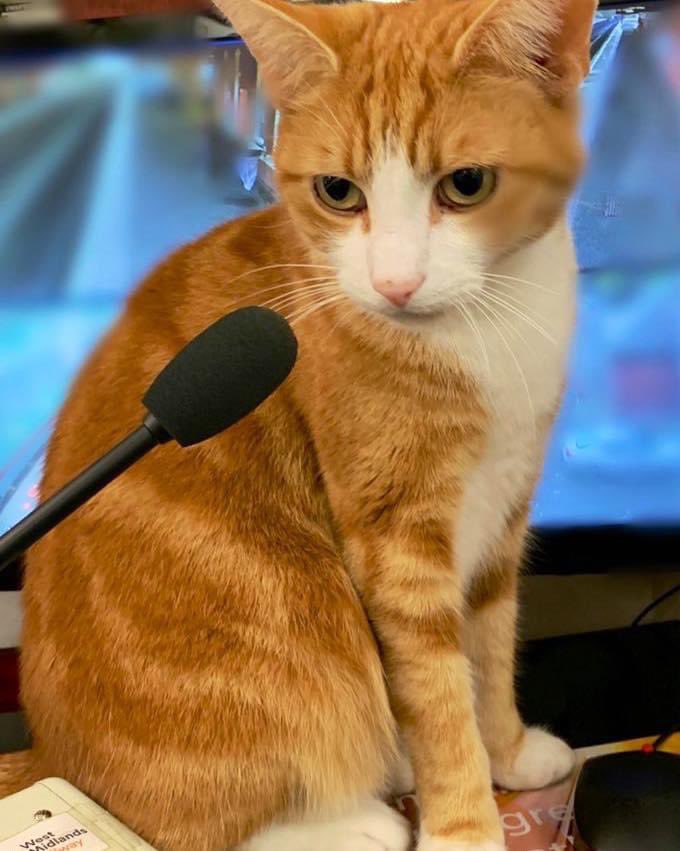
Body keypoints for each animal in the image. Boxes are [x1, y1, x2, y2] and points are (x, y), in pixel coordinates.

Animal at [0, 0, 596, 848]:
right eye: (340, 192)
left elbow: (487, 654)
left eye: (466, 184)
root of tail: (51, 753)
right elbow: (439, 695)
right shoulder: (396, 542)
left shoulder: (502, 517)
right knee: (200, 819)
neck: (486, 328)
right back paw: (355, 821)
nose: (395, 283)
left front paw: (508, 754)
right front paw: (467, 825)